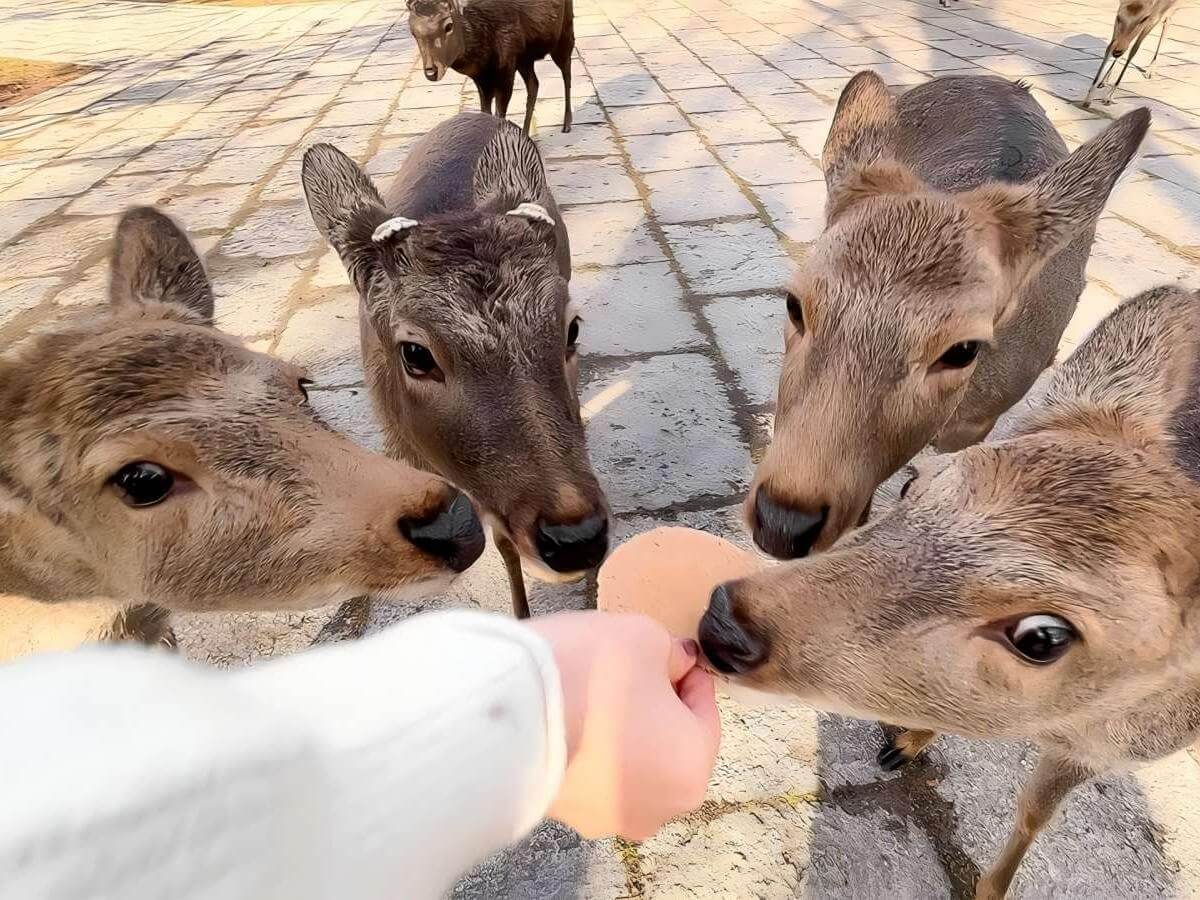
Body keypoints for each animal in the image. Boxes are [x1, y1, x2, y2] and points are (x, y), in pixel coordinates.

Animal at [407, 0, 575, 134]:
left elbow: (499, 113)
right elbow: (485, 111)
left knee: (566, 71)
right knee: (534, 84)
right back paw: (525, 134)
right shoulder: (482, 78)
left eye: (448, 26)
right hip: (525, 60)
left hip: (564, 32)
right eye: (413, 32)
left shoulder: (506, 69)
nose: (431, 71)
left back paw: (566, 124)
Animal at [700, 282, 1200, 899]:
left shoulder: (1104, 750)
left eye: (1043, 638)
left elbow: (1034, 813)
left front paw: (991, 888)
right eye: (912, 484)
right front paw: (905, 743)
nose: (724, 621)